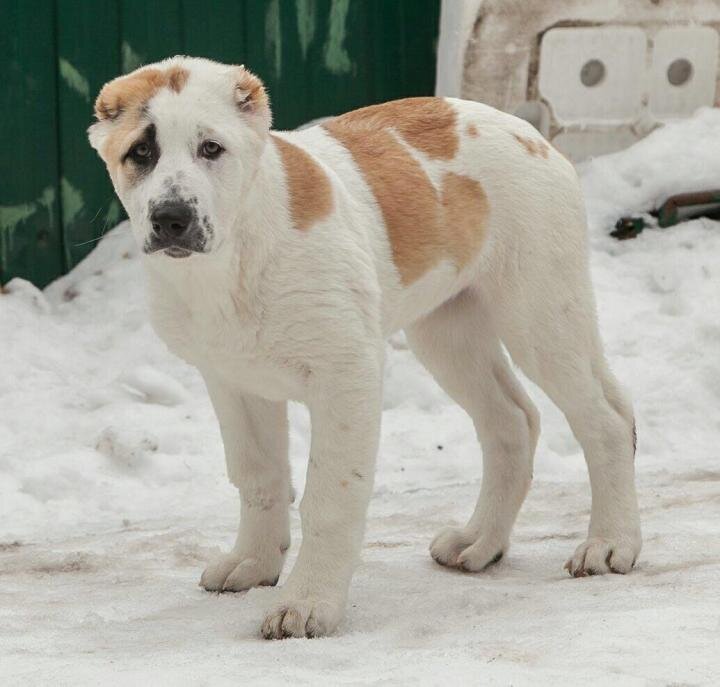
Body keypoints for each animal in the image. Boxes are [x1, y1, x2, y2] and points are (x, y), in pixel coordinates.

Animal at [90, 55, 640, 640]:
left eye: (211, 148)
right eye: (140, 153)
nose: (172, 217)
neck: (230, 263)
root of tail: (526, 130)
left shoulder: (345, 373)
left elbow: (329, 497)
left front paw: (309, 603)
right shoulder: (233, 383)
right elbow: (259, 478)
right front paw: (255, 563)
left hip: (541, 314)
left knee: (607, 419)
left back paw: (610, 544)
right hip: (448, 334)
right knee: (512, 421)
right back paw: (480, 542)